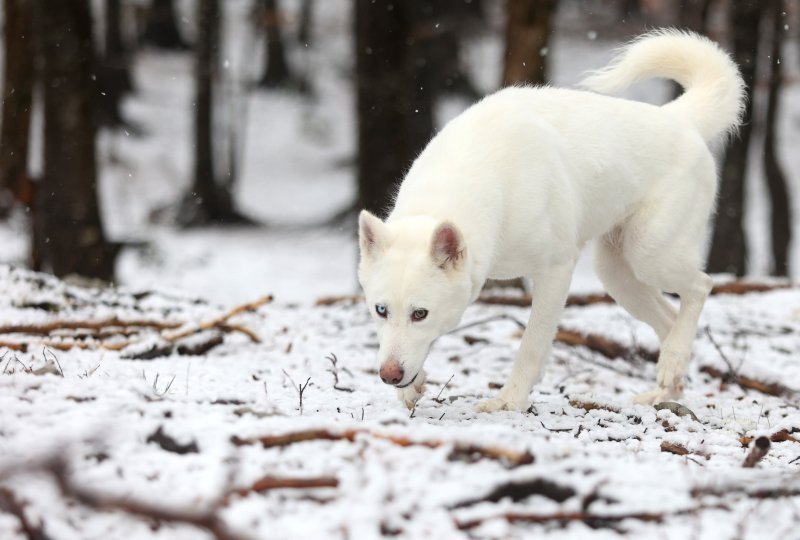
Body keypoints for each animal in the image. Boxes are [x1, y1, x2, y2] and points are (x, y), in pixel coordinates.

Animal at [356, 29, 744, 412]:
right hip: (617, 275)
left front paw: (508, 401)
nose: (388, 375)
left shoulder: (556, 272)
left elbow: (531, 344)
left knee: (702, 286)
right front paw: (412, 387)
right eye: (381, 310)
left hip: (650, 254)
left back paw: (673, 362)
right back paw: (666, 386)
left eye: (420, 314)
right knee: (668, 319)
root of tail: (680, 118)